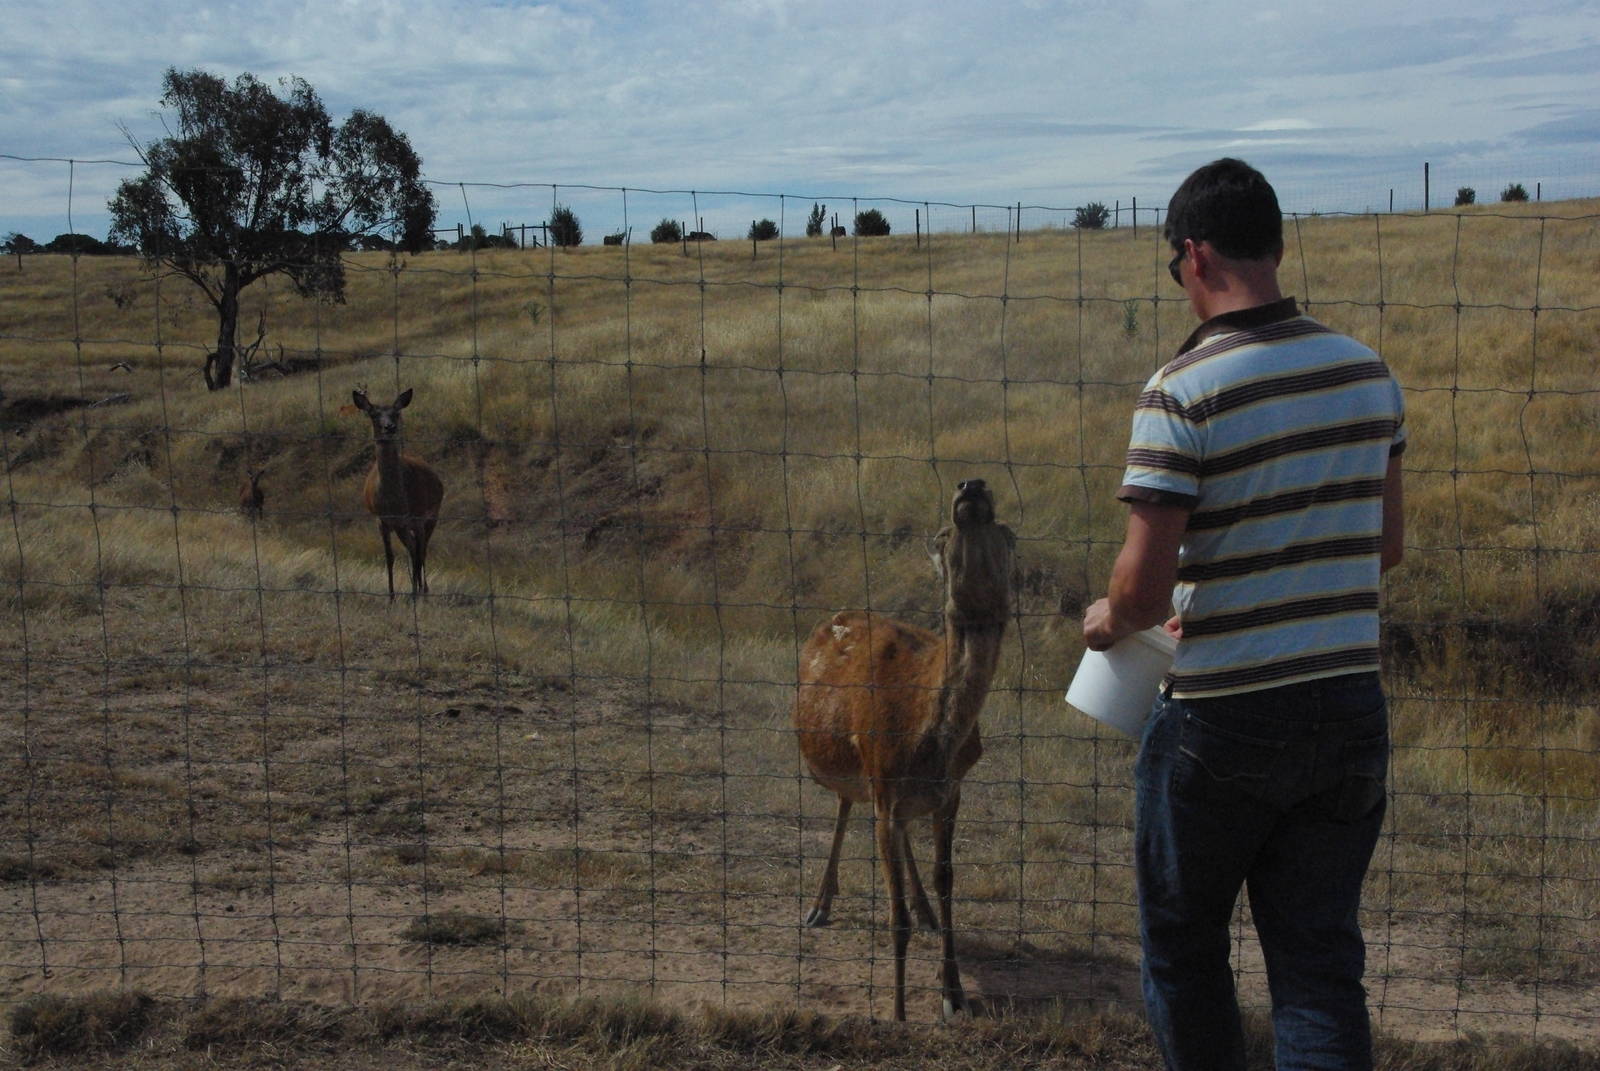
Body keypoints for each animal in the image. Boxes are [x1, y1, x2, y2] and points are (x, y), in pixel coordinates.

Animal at [352, 388, 445, 600]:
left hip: (432, 515)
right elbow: (390, 557)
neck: (394, 500)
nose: (390, 427)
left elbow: (418, 554)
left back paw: (423, 591)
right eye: (373, 414)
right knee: (413, 549)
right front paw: (392, 596)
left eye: (396, 413)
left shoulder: (417, 517)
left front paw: (416, 594)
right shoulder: (382, 520)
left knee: (421, 551)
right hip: (402, 527)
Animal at [792, 478, 1017, 1021]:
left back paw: (923, 910)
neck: (926, 740)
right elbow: (893, 916)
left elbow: (947, 879)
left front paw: (953, 993)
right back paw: (819, 904)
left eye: (1008, 534)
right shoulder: (883, 781)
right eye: (941, 536)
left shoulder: (951, 791)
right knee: (844, 803)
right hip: (854, 768)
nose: (971, 486)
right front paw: (896, 1012)